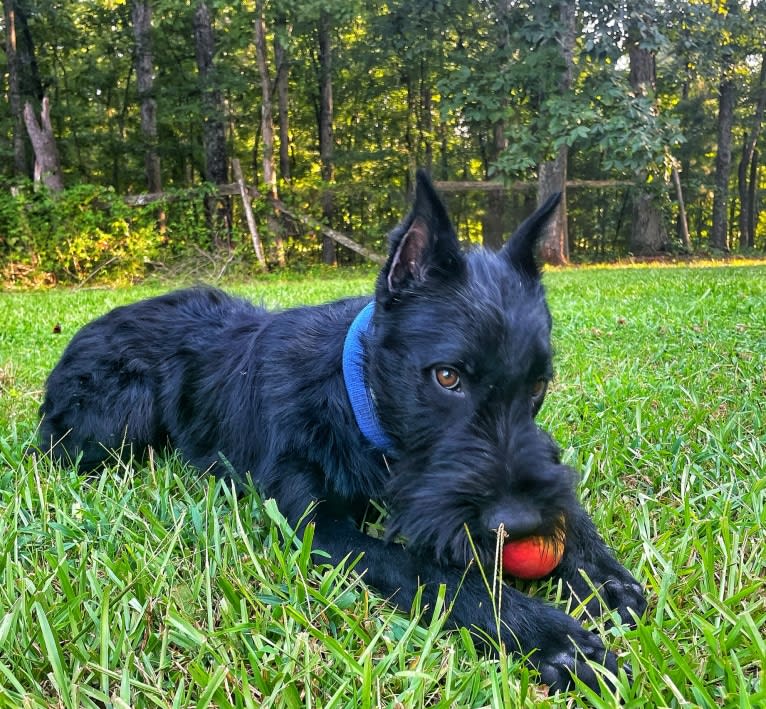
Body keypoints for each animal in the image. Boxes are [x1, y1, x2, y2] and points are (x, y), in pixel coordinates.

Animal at [40, 170, 648, 692]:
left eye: (539, 384)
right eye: (446, 376)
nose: (519, 524)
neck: (359, 404)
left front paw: (599, 571)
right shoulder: (319, 528)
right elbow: (424, 568)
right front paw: (546, 634)